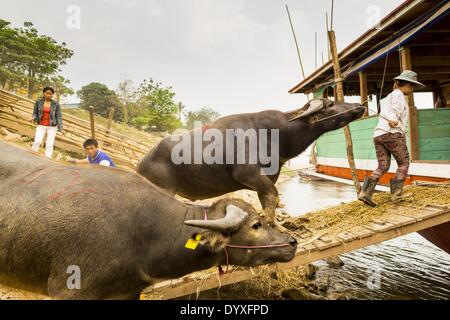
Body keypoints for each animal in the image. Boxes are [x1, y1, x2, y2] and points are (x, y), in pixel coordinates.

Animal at [137, 99, 366, 224]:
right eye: (330, 104)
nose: (359, 106)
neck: (277, 135)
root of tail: (141, 163)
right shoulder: (248, 174)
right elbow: (273, 196)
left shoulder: (267, 178)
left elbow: (269, 200)